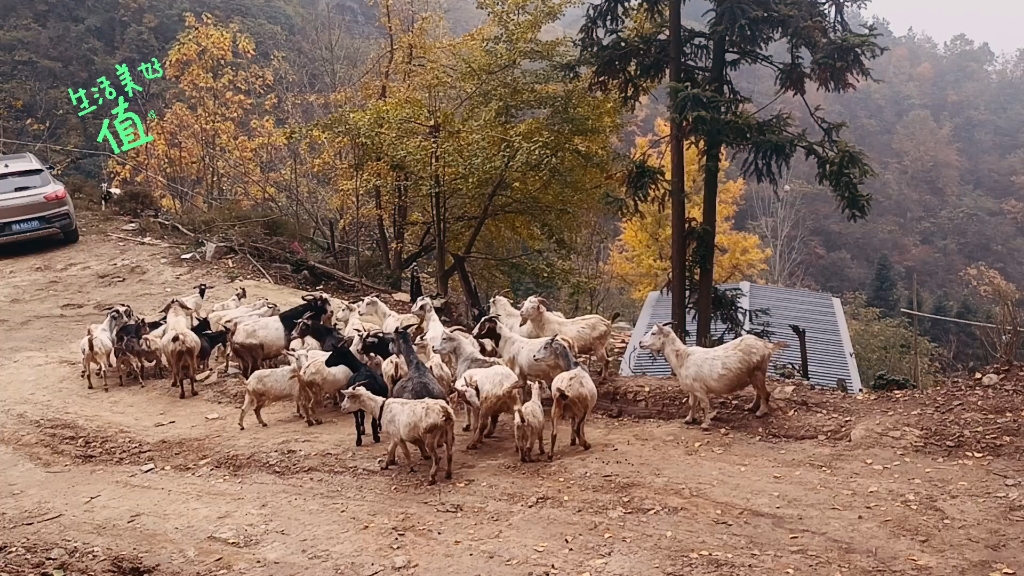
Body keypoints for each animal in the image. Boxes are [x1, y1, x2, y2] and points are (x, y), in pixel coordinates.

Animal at [638, 323, 782, 426]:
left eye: (654, 332)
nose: (640, 343)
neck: (683, 358)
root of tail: (766, 345)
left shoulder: (699, 389)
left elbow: (704, 405)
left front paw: (705, 423)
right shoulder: (692, 389)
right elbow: (692, 403)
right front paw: (689, 419)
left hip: (758, 372)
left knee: (765, 393)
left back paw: (761, 412)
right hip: (754, 375)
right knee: (758, 391)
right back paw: (752, 407)